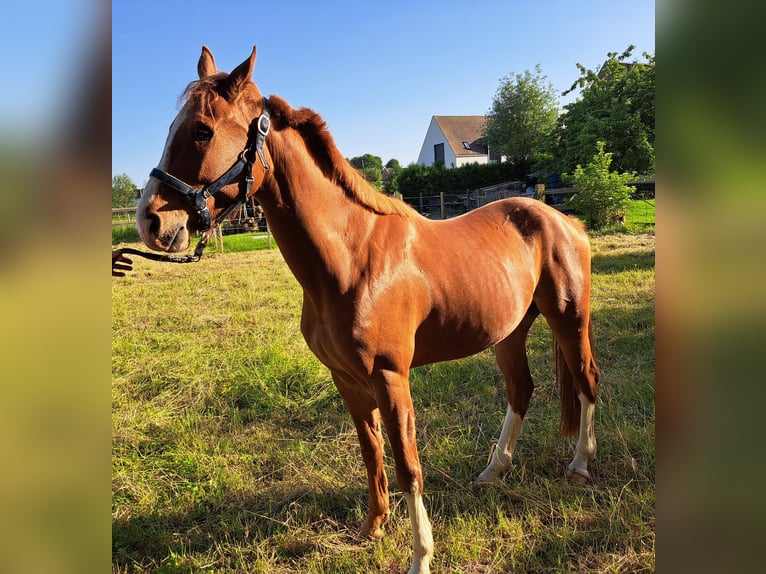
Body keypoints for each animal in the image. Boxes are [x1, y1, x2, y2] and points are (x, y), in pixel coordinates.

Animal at [136, 46, 600, 574]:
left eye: (201, 130)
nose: (150, 222)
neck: (353, 257)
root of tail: (564, 219)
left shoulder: (390, 377)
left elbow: (408, 467)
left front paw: (421, 556)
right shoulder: (348, 380)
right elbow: (371, 453)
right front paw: (372, 529)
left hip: (569, 319)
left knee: (586, 380)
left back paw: (580, 465)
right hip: (509, 332)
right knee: (521, 390)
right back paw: (492, 470)